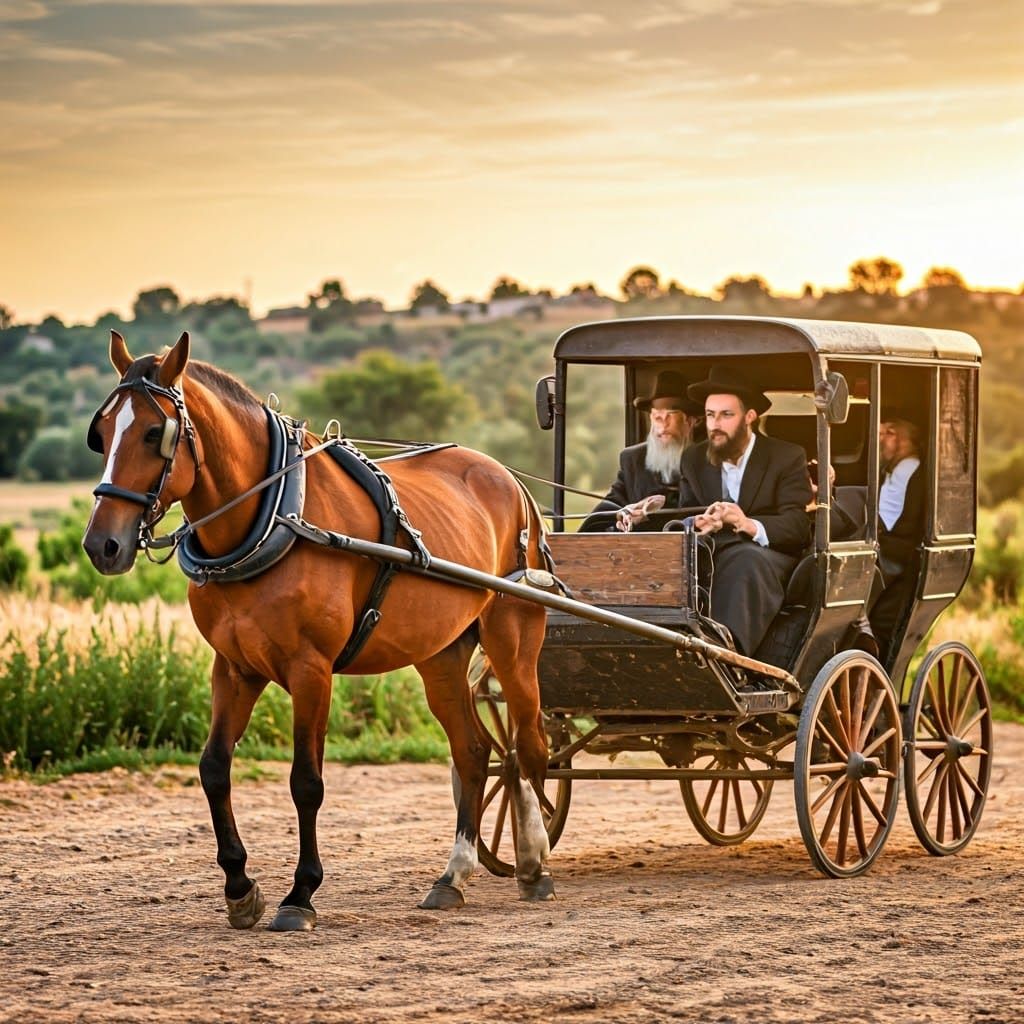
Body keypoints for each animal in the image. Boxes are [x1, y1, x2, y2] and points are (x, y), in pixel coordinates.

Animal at [82, 330, 554, 931]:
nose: (103, 545)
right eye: (101, 434)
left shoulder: (311, 670)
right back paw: (453, 875)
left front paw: (300, 894)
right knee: (473, 752)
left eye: (153, 433)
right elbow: (214, 768)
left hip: (513, 639)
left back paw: (535, 863)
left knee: (529, 746)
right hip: (442, 653)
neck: (271, 519)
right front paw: (240, 888)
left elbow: (305, 781)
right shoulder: (233, 668)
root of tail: (513, 482)